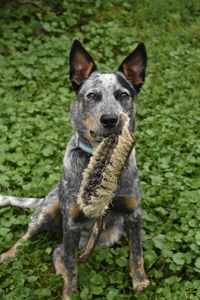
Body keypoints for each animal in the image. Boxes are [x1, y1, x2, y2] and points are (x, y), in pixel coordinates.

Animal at [0, 40, 149, 300]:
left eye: (123, 95)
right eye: (92, 95)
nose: (110, 119)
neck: (102, 157)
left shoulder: (133, 214)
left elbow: (137, 254)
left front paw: (140, 284)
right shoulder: (70, 223)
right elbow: (72, 266)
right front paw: (69, 292)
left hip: (105, 236)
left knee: (55, 248)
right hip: (47, 210)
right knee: (27, 238)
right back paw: (8, 256)